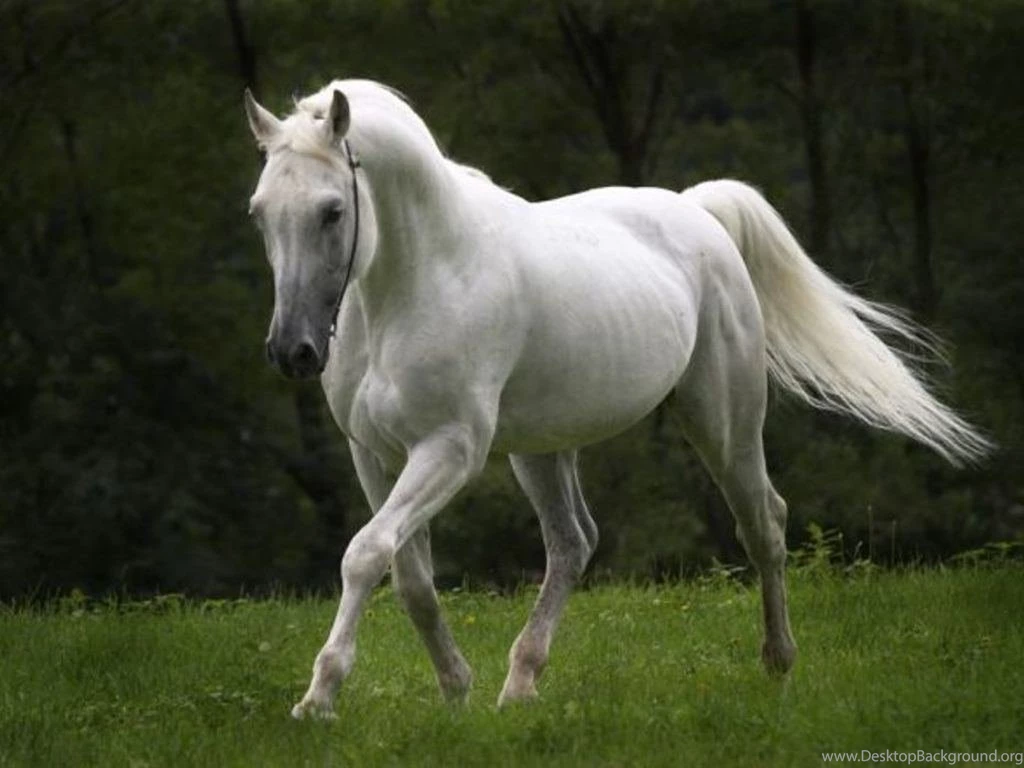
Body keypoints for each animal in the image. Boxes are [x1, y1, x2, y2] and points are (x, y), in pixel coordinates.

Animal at [242, 79, 989, 719]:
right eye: (260, 214)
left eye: (333, 211)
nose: (291, 351)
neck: (421, 279)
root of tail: (698, 211)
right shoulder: (373, 454)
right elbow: (409, 577)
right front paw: (456, 690)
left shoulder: (449, 449)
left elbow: (365, 554)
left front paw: (319, 697)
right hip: (542, 449)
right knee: (574, 543)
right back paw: (519, 686)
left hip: (721, 423)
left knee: (763, 525)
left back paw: (777, 665)